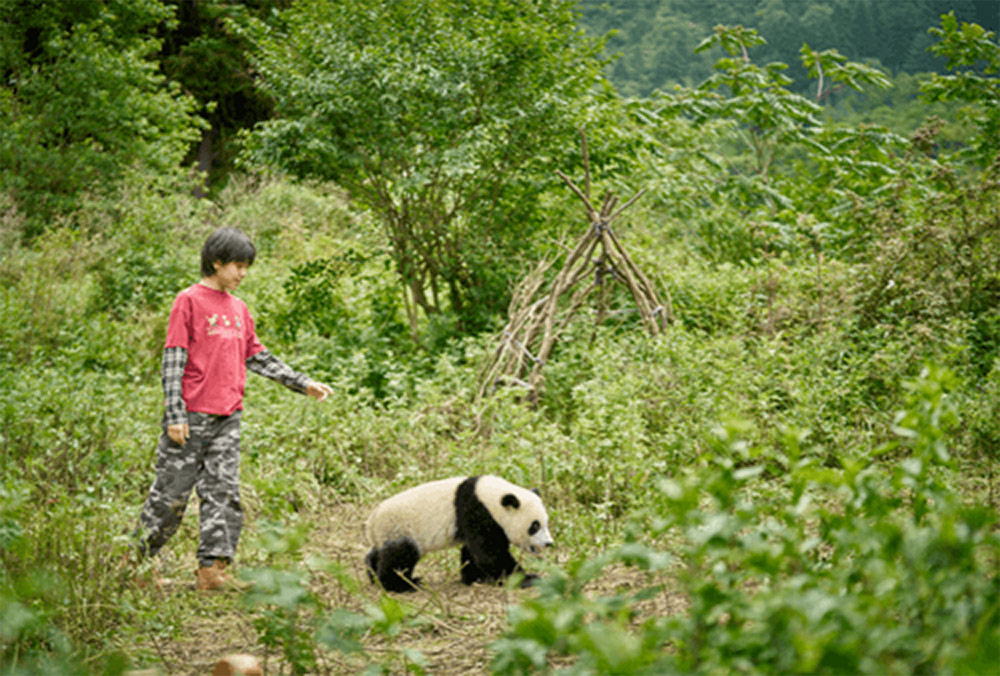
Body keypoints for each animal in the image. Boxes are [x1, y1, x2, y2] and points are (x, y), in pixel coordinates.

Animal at [364, 475, 553, 592]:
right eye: (534, 526)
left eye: (546, 522)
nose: (549, 543)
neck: (489, 496)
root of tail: (371, 522)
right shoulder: (475, 510)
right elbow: (489, 553)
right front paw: (527, 578)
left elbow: (473, 551)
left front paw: (475, 578)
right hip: (399, 528)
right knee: (401, 555)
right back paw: (402, 585)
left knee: (379, 554)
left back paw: (373, 573)